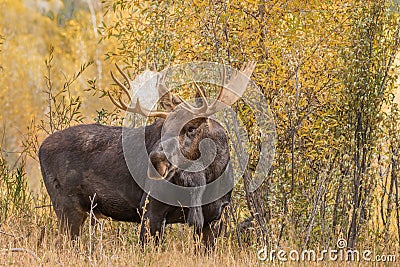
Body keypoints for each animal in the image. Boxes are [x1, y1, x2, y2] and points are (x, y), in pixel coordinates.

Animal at [39, 61, 255, 248]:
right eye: (163, 127)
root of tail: (41, 147)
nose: (156, 158)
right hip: (67, 206)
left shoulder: (214, 218)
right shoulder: (150, 208)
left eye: (191, 128)